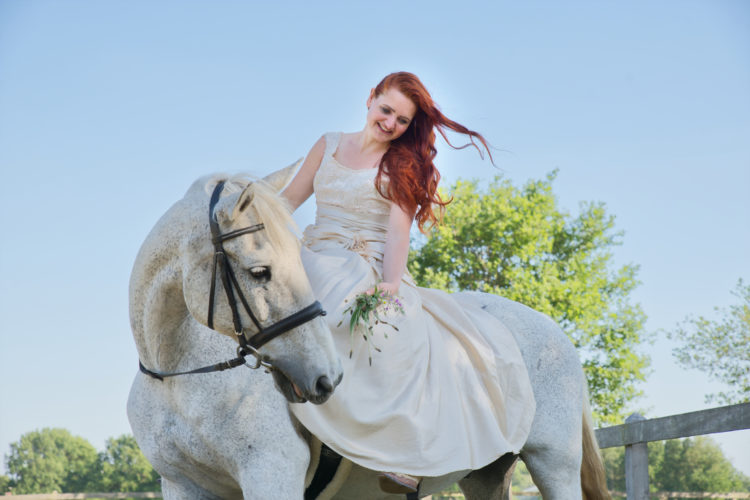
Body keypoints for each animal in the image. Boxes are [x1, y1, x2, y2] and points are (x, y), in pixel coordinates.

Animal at [128, 165, 612, 500]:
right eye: (260, 271)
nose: (326, 378)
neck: (178, 376)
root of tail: (554, 332)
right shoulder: (183, 486)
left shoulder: (270, 474)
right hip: (488, 474)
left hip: (554, 463)